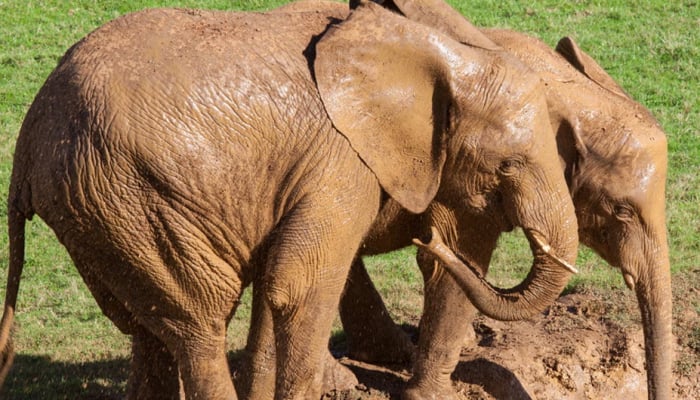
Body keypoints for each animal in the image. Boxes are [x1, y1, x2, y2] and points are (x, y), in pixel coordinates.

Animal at [0, 1, 580, 398]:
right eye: (509, 165)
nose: (429, 238)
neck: (437, 53)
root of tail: (27, 143)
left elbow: (273, 284)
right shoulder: (342, 161)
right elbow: (298, 285)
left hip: (100, 213)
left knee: (147, 328)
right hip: (127, 196)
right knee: (199, 324)